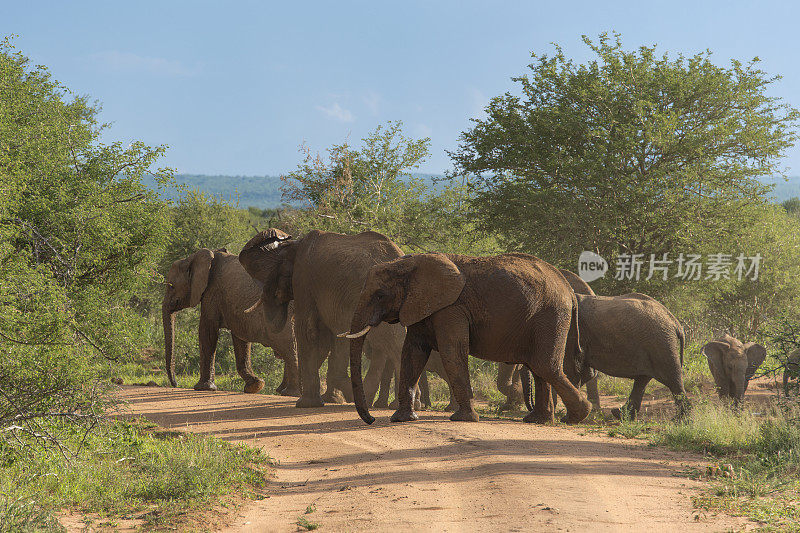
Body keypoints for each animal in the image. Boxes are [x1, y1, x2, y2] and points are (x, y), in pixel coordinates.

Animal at [162, 246, 296, 394]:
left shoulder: (212, 292)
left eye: (171, 286)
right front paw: (255, 386)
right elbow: (240, 338)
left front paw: (204, 388)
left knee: (287, 345)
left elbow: (207, 331)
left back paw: (291, 393)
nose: (175, 384)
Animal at [238, 228, 424, 408]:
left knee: (390, 343)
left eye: (267, 277)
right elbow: (329, 339)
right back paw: (409, 404)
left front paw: (306, 404)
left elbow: (308, 331)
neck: (293, 244)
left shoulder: (304, 279)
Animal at [340, 252, 592, 424]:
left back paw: (576, 416)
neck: (410, 264)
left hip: (551, 315)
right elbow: (412, 353)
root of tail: (569, 290)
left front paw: (463, 419)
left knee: (544, 365)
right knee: (538, 368)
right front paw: (402, 419)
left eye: (380, 295)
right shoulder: (420, 306)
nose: (371, 419)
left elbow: (452, 351)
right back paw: (539, 420)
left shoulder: (451, 308)